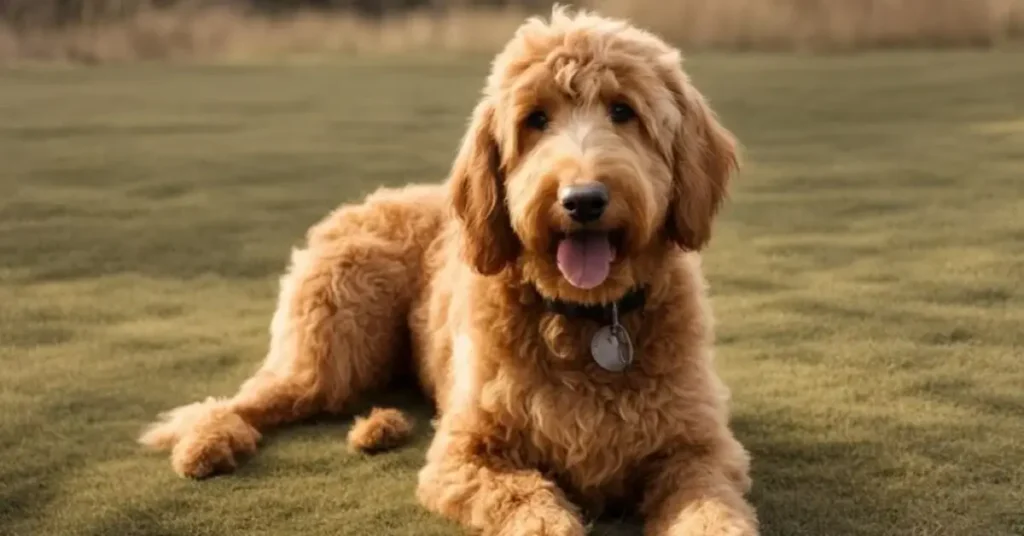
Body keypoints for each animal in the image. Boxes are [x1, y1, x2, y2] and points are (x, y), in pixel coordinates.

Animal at [140, 8, 757, 536]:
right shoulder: (464, 457)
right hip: (331, 349)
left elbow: (711, 508)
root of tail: (374, 198)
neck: (586, 319)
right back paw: (209, 441)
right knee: (246, 398)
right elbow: (529, 501)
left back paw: (380, 426)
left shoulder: (699, 451)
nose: (582, 200)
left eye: (623, 111)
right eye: (535, 120)